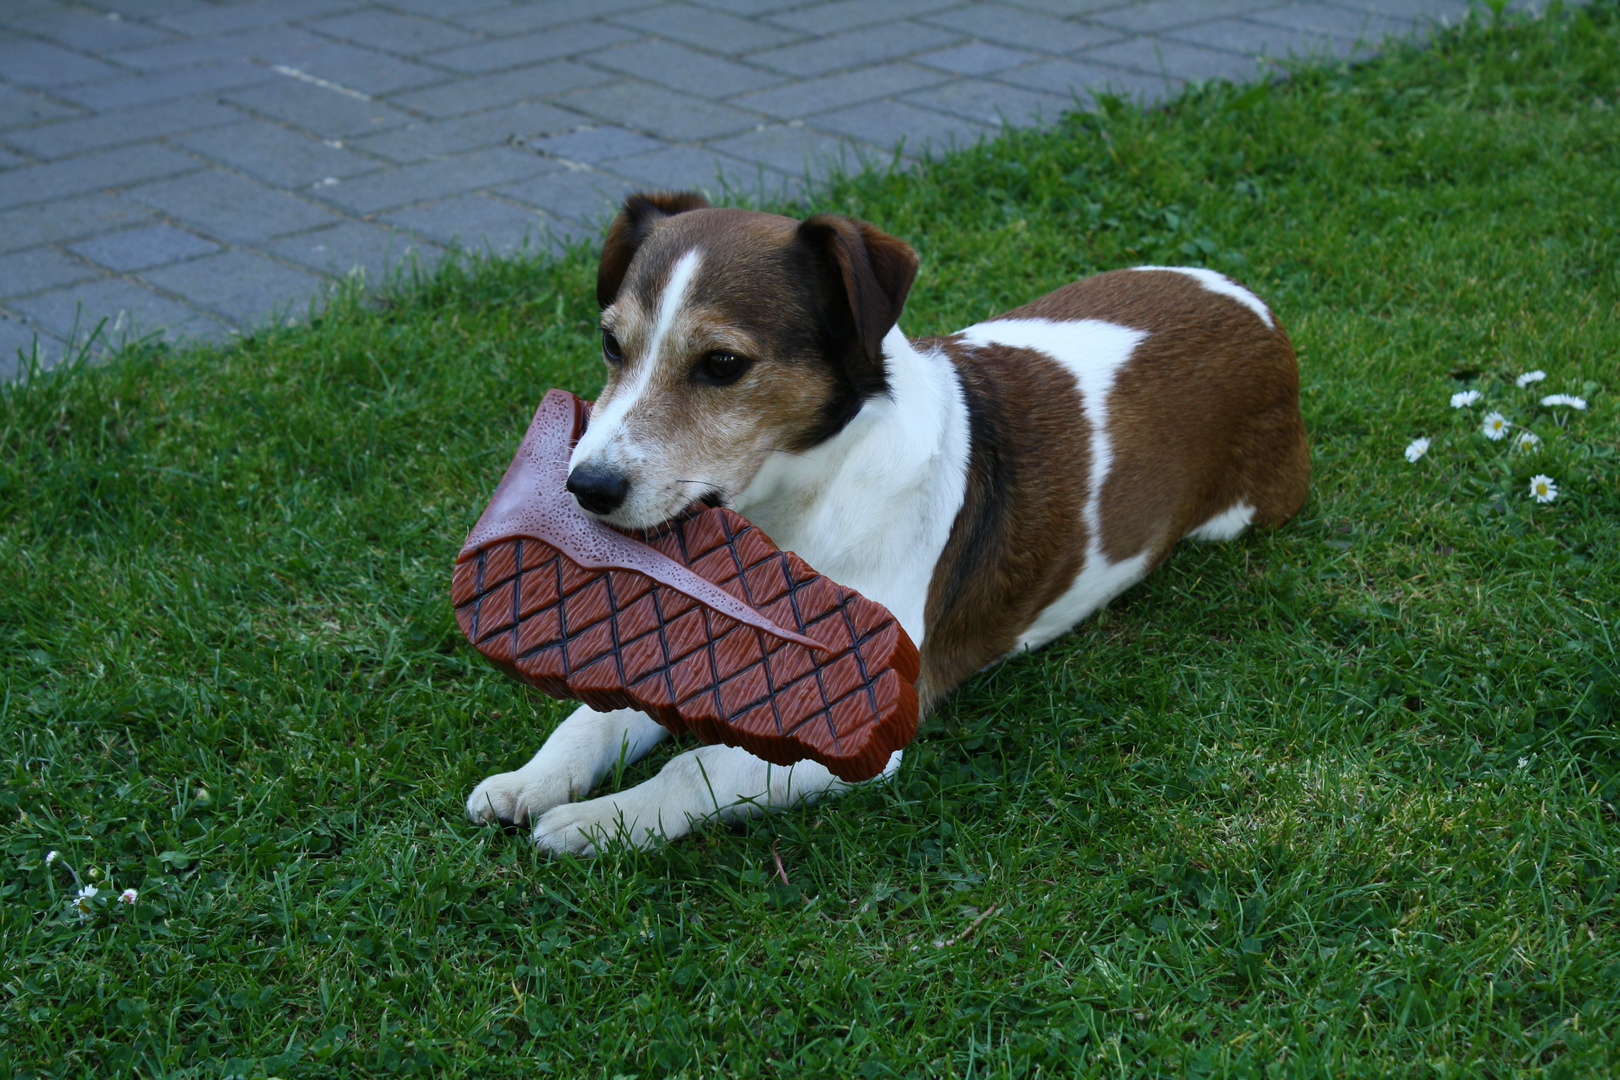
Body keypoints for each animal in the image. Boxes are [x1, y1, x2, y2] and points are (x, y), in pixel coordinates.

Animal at [463, 194, 1308, 854]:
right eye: (612, 344)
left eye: (723, 364)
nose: (583, 487)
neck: (797, 508)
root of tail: (1260, 310)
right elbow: (598, 719)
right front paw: (534, 780)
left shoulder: (858, 734)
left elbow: (692, 770)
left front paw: (598, 822)